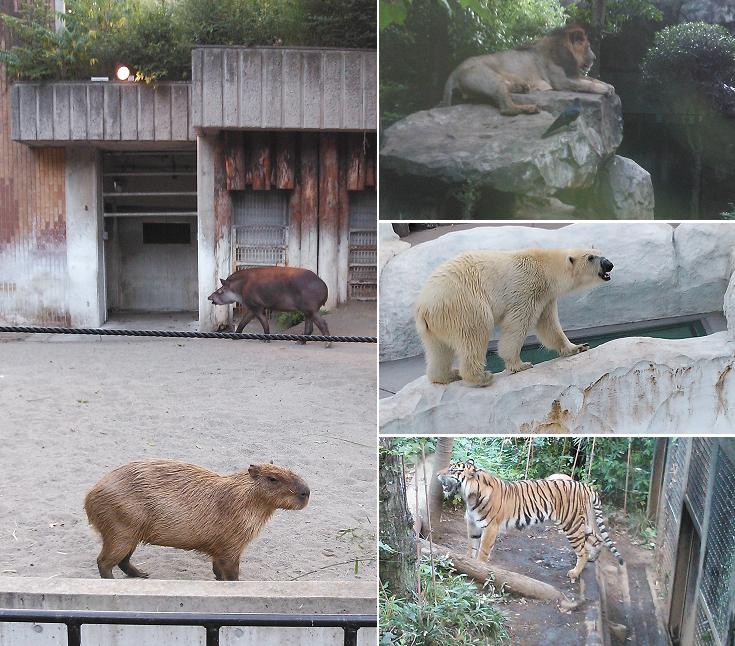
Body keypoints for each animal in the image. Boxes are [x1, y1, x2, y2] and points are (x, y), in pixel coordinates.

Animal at [414, 248, 616, 388]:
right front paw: (520, 365)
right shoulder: (527, 288)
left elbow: (548, 326)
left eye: (600, 253)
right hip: (464, 305)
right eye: (590, 257)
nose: (609, 264)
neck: (544, 266)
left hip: (433, 326)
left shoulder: (546, 297)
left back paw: (448, 375)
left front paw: (578, 347)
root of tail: (425, 307)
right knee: (475, 333)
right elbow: (518, 325)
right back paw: (481, 376)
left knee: (438, 350)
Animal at [440, 458, 624, 584]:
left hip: (571, 524)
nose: (437, 474)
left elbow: (483, 551)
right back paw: (593, 557)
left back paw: (574, 573)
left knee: (582, 550)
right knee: (597, 539)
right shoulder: (473, 524)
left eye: (452, 469)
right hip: (581, 523)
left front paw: (479, 568)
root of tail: (585, 486)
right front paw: (468, 564)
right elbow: (471, 546)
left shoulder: (490, 527)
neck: (469, 496)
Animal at [442, 24, 616, 116]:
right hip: (491, 79)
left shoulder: (572, 73)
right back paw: (529, 107)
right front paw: (604, 89)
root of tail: (454, 71)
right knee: (506, 108)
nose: (595, 58)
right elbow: (587, 84)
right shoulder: (562, 81)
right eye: (587, 47)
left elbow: (592, 78)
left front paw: (609, 85)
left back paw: (522, 87)